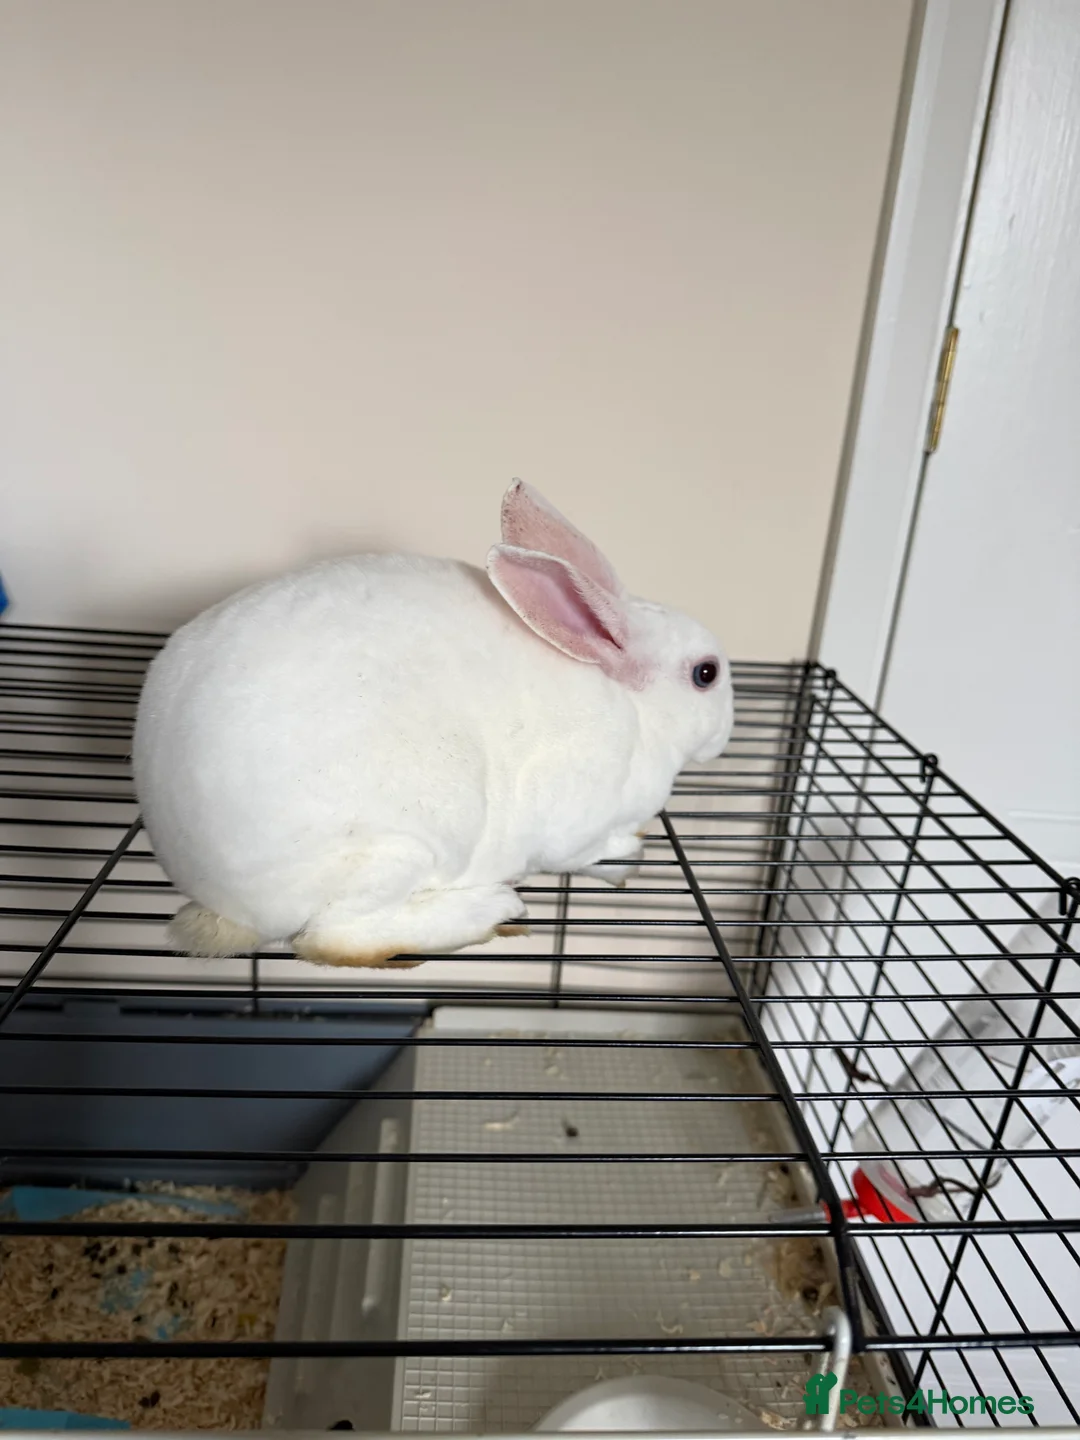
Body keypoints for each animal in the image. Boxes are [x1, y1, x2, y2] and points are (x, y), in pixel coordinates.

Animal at [133, 480, 734, 966]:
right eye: (706, 674)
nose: (726, 733)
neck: (636, 707)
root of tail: (217, 897)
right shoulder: (574, 817)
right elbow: (585, 851)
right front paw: (626, 852)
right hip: (407, 843)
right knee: (334, 938)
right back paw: (490, 910)